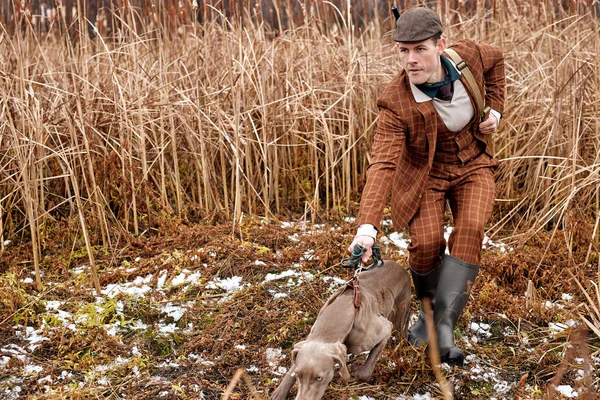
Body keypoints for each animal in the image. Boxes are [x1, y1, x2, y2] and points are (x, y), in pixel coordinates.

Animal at [272, 260, 412, 398]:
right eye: (298, 375)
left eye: (319, 378)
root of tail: (402, 268)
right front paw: (280, 392)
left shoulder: (385, 328)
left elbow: (364, 373)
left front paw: (354, 370)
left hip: (401, 314)